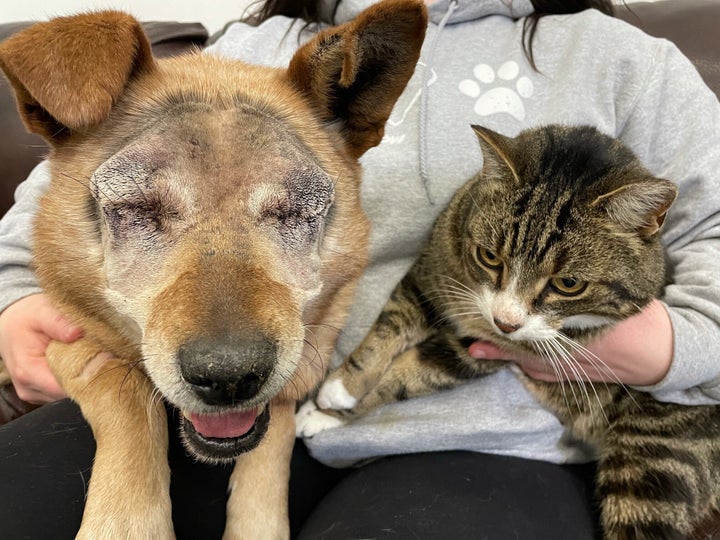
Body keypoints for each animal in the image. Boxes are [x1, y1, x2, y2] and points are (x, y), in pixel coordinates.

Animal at [0, 2, 428, 536]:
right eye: (139, 208)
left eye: (292, 213)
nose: (229, 378)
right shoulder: (73, 343)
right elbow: (127, 390)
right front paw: (128, 520)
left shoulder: (300, 369)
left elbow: (274, 439)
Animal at [302, 125, 720, 540]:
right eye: (489, 257)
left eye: (569, 284)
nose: (505, 322)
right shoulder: (429, 279)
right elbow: (386, 330)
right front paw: (337, 392)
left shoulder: (481, 351)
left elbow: (407, 376)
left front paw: (331, 412)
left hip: (653, 465)